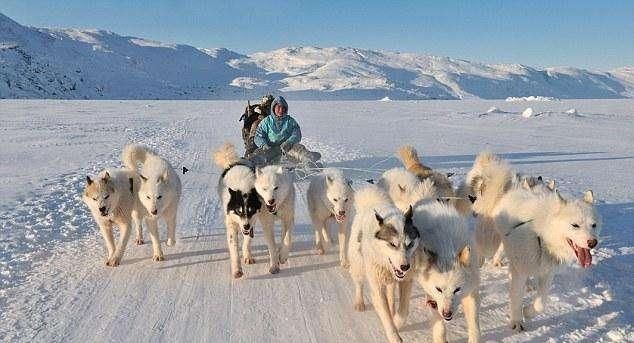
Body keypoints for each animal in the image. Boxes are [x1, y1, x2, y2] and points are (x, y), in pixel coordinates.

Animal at [212, 144, 262, 278]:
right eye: (239, 211)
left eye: (251, 210)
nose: (245, 226)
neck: (243, 187)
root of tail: (233, 162)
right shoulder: (231, 222)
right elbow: (233, 246)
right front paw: (237, 270)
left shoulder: (252, 221)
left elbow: (247, 241)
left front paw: (247, 256)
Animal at [346, 185, 420, 343]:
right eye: (392, 244)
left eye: (410, 244)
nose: (405, 267)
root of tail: (371, 203)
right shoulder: (377, 287)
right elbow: (385, 315)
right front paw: (394, 335)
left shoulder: (406, 281)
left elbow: (403, 310)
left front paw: (397, 321)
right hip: (359, 266)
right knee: (359, 283)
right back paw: (359, 302)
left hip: (390, 280)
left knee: (391, 293)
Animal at [410, 202, 478, 343]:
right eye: (439, 289)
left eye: (457, 289)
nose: (447, 313)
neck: (447, 247)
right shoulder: (433, 296)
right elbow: (439, 326)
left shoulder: (472, 290)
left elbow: (474, 323)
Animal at [492, 185, 600, 334]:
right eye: (575, 225)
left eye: (593, 225)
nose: (593, 242)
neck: (542, 237)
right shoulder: (520, 271)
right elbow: (516, 297)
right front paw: (516, 321)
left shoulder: (547, 273)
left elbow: (541, 304)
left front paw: (527, 312)